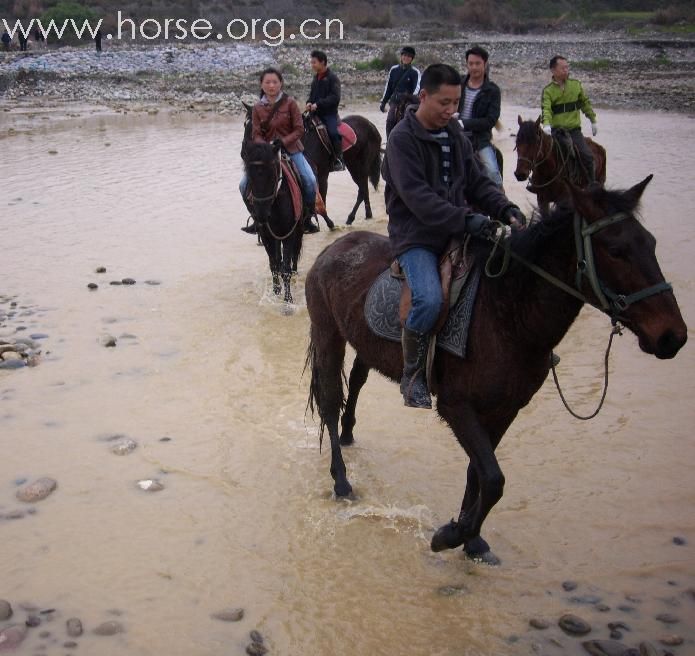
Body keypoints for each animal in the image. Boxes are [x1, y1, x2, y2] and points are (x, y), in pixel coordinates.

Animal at [308, 176, 688, 564]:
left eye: (650, 243)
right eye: (615, 250)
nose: (673, 336)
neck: (508, 312)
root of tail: (331, 250)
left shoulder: (505, 409)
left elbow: (478, 474)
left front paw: (471, 539)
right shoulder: (456, 407)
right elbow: (493, 479)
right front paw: (450, 535)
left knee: (356, 381)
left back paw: (349, 434)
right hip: (327, 334)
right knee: (329, 403)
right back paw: (341, 480)